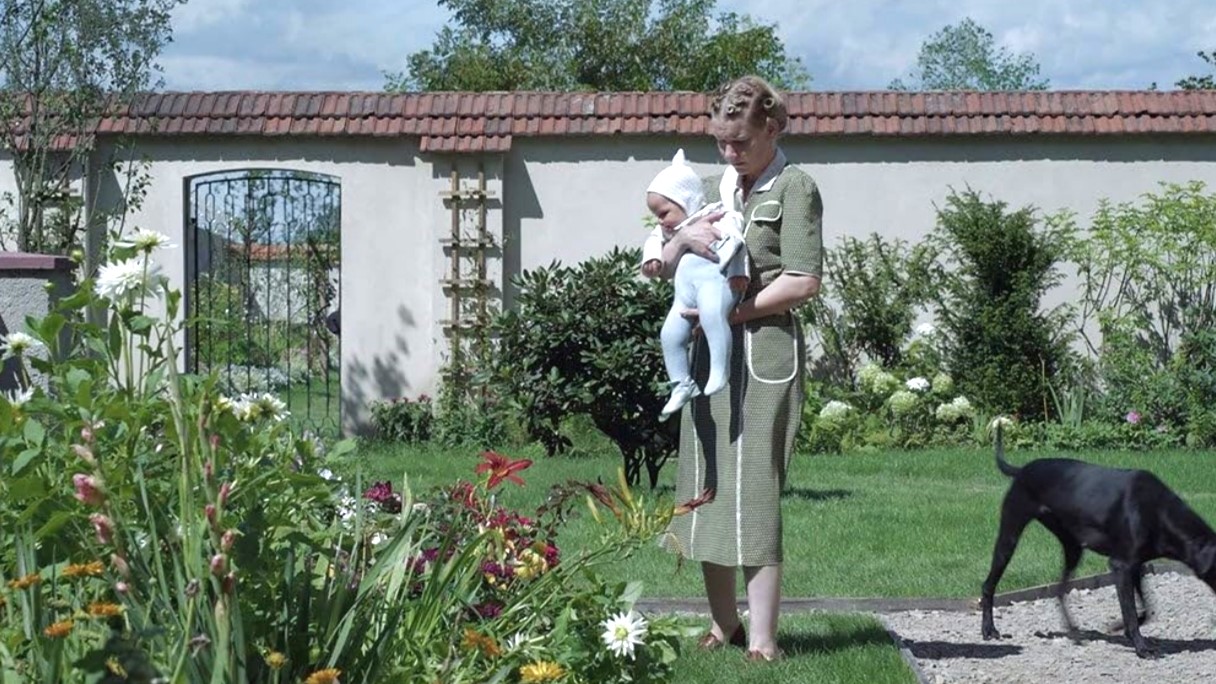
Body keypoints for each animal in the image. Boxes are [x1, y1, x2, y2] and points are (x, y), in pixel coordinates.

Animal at [977, 421, 1216, 657]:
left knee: (1059, 591)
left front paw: (1120, 628)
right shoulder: (1121, 565)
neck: (1159, 510)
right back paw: (989, 630)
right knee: (988, 585)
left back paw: (1074, 632)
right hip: (1010, 536)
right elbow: (1131, 611)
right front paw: (1140, 646)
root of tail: (1022, 470)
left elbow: (1147, 609)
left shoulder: (1136, 565)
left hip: (1072, 547)